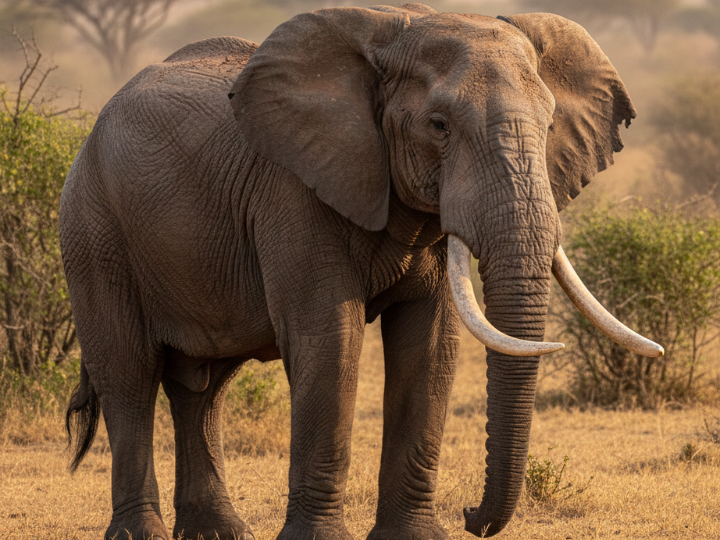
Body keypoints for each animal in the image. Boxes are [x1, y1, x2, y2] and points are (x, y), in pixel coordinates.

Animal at [60, 3, 663, 540]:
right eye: (438, 125)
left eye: (550, 124)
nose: (473, 517)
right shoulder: (293, 191)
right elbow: (331, 341)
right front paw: (318, 539)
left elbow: (430, 345)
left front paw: (416, 537)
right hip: (93, 227)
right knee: (130, 374)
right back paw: (140, 533)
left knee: (204, 387)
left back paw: (219, 532)